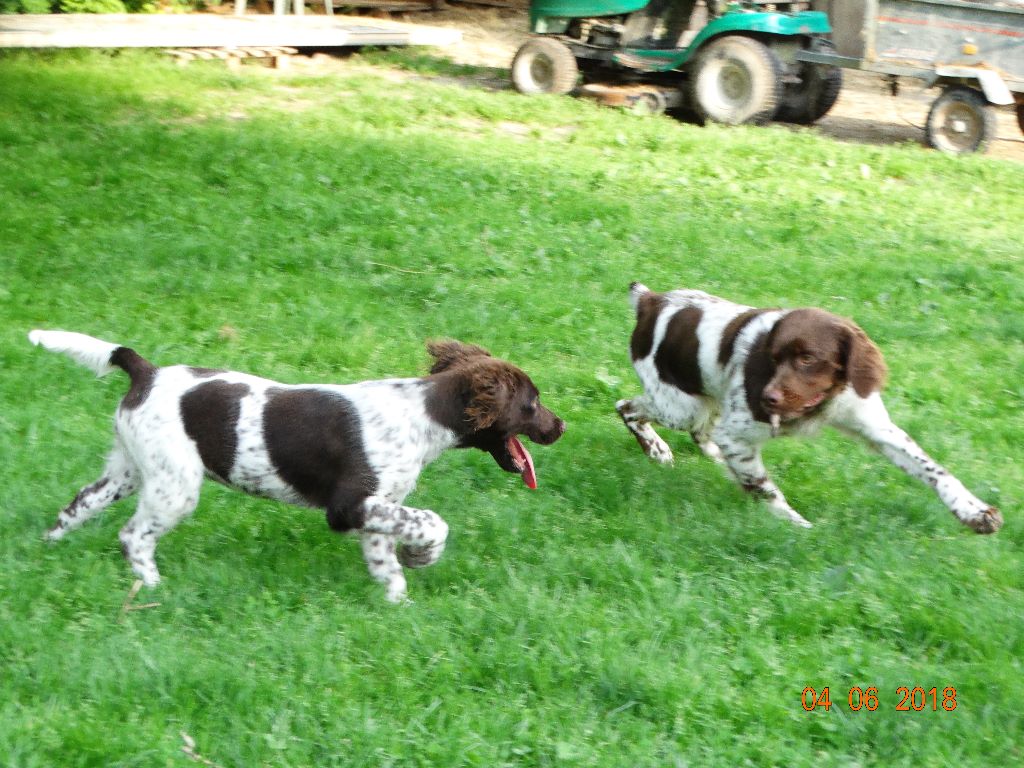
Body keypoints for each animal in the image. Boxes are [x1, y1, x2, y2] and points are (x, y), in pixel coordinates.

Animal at [28, 333, 565, 606]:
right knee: (133, 535)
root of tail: (146, 371)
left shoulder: (378, 508)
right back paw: (153, 586)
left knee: (78, 504)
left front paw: (400, 600)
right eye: (532, 404)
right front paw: (421, 557)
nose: (560, 426)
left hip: (129, 469)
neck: (423, 414)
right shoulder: (350, 504)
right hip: (175, 484)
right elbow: (433, 521)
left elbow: (386, 560)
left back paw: (45, 552)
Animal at [614, 284, 999, 536]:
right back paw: (657, 449)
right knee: (626, 407)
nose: (768, 399)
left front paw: (975, 512)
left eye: (808, 359)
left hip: (706, 402)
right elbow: (765, 487)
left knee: (701, 432)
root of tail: (651, 300)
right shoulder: (737, 433)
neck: (824, 402)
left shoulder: (875, 427)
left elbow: (935, 471)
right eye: (773, 358)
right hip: (681, 405)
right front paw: (797, 526)